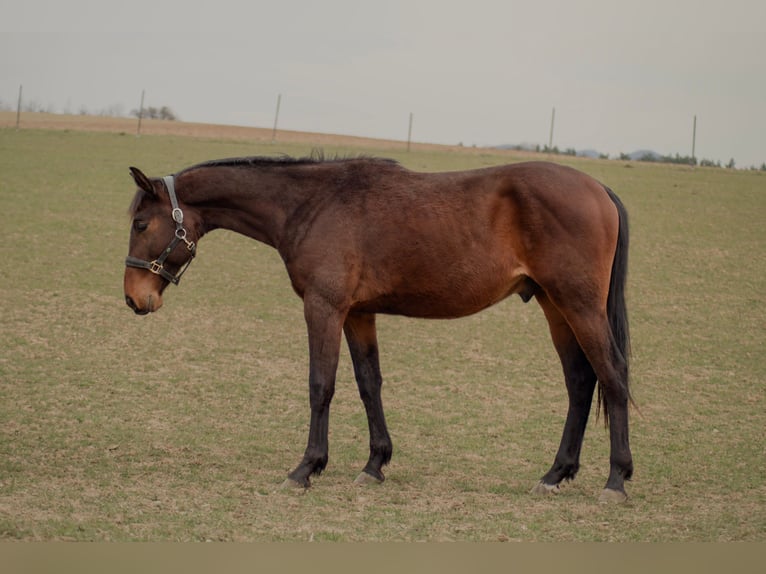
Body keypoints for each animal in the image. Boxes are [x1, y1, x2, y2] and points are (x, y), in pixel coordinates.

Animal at [123, 155, 633, 503]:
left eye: (141, 223)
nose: (134, 298)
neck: (312, 204)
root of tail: (599, 188)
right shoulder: (357, 314)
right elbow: (369, 383)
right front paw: (375, 464)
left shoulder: (324, 308)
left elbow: (321, 385)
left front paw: (306, 468)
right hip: (554, 305)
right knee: (580, 381)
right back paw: (556, 474)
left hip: (578, 304)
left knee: (612, 376)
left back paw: (616, 479)